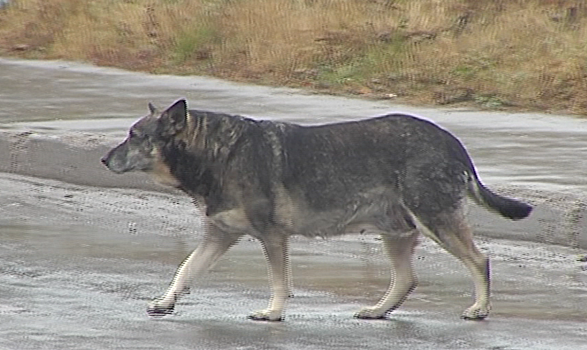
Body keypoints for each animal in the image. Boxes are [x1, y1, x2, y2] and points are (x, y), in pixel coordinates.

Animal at [101, 99, 532, 322]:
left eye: (135, 136)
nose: (104, 159)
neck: (216, 153)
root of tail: (451, 141)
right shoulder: (219, 236)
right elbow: (185, 270)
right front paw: (166, 301)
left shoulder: (273, 237)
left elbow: (278, 282)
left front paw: (274, 312)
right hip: (396, 232)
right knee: (406, 279)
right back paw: (379, 310)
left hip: (435, 221)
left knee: (479, 260)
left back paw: (480, 308)